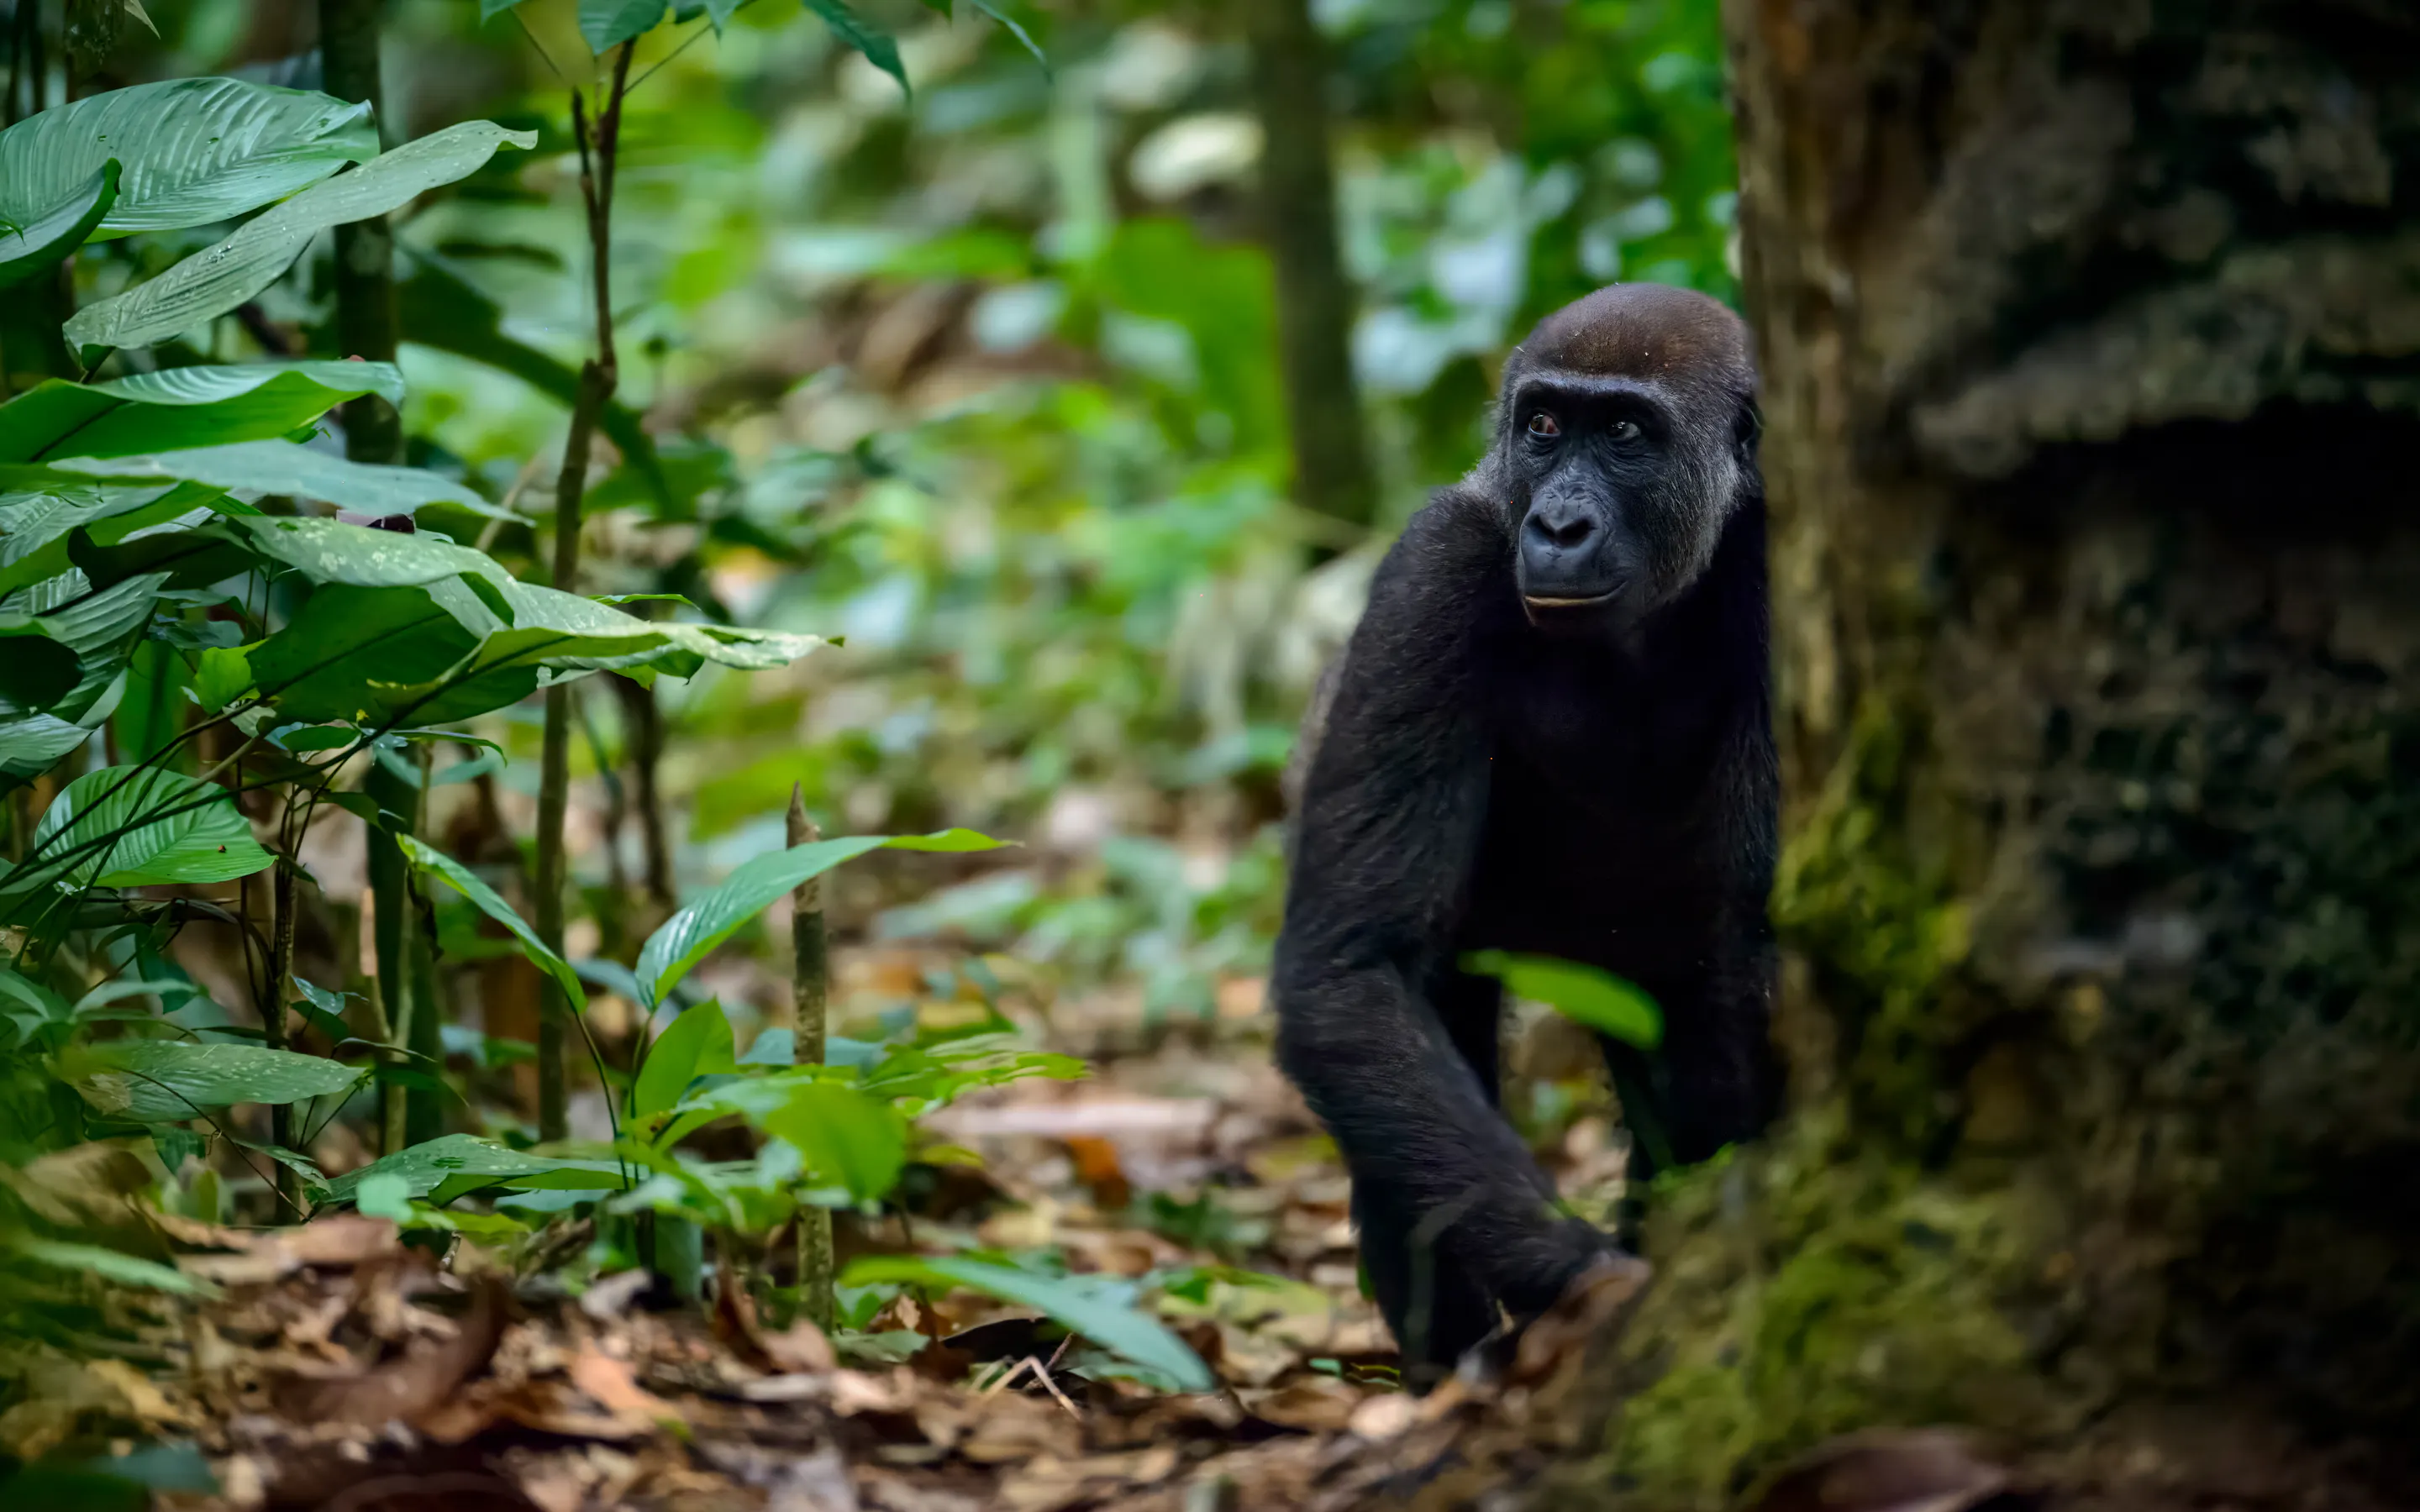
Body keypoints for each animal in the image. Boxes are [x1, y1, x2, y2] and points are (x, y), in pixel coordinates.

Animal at [1273, 283, 1778, 1376]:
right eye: (1543, 428)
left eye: (1626, 435)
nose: (1557, 523)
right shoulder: (1438, 563)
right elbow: (1353, 972)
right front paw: (1590, 1284)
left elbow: (1763, 951)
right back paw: (1451, 1369)